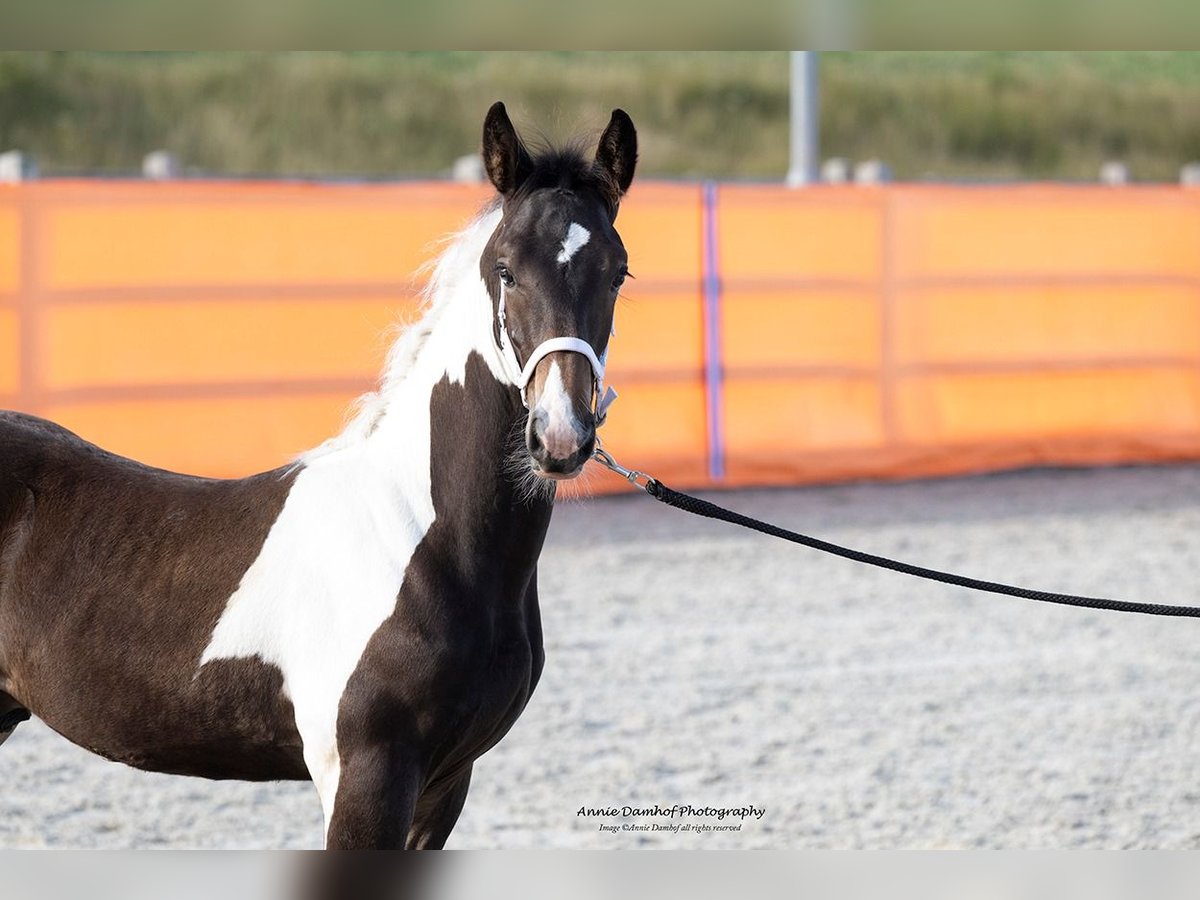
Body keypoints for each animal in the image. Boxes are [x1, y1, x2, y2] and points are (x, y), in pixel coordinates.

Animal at [0, 105, 638, 854]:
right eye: (504, 270)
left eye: (618, 273)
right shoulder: (366, 772)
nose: (559, 435)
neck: (421, 540)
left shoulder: (447, 783)